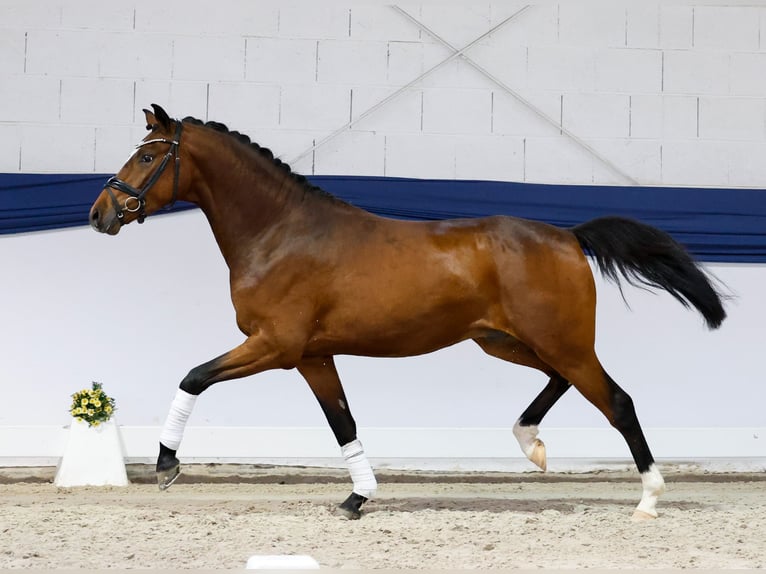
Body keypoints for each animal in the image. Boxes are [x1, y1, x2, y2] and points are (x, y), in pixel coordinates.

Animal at [89, 104, 726, 520]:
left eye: (148, 154)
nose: (101, 214)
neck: (281, 232)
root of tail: (568, 237)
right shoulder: (313, 356)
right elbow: (343, 424)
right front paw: (357, 499)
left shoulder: (275, 345)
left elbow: (193, 377)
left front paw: (166, 465)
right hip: (510, 341)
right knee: (562, 382)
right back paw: (532, 445)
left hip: (561, 341)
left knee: (617, 401)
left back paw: (648, 499)